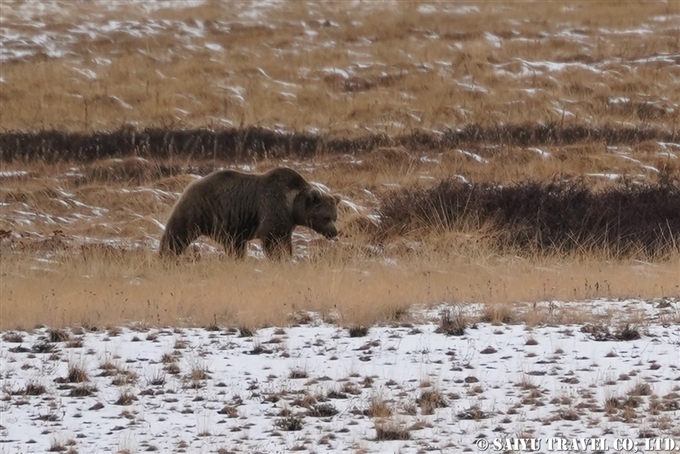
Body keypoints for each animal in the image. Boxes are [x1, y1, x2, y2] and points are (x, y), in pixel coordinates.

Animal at [159, 167, 340, 258]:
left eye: (335, 217)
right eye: (326, 217)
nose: (334, 232)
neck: (292, 206)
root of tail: (192, 184)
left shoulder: (287, 223)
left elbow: (285, 241)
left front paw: (287, 255)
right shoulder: (272, 206)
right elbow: (272, 239)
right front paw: (278, 258)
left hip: (231, 227)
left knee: (235, 245)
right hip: (200, 209)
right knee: (177, 234)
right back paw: (167, 255)